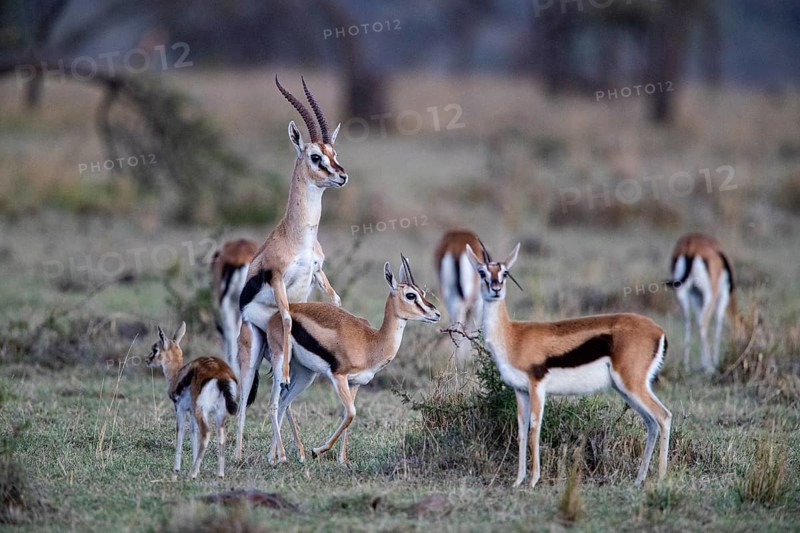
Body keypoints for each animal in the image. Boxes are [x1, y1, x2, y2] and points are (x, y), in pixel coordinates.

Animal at [146, 322, 239, 480]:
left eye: (155, 349)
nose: (147, 360)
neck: (177, 375)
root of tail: (221, 375)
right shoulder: (191, 412)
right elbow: (193, 433)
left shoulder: (180, 409)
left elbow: (181, 431)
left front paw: (177, 468)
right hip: (219, 413)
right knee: (220, 436)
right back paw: (219, 473)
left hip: (201, 410)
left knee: (206, 433)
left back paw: (192, 474)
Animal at [235, 76, 346, 461]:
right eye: (315, 156)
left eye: (334, 153)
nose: (342, 176)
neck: (298, 235)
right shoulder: (279, 277)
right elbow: (284, 316)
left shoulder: (317, 273)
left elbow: (337, 300)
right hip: (253, 352)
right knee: (245, 399)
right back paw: (238, 454)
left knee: (279, 399)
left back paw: (282, 453)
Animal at [264, 255, 440, 465]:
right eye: (411, 295)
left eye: (422, 292)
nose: (436, 314)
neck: (371, 342)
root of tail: (277, 315)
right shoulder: (338, 376)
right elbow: (351, 413)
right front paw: (317, 450)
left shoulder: (355, 383)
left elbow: (346, 417)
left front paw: (342, 460)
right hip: (280, 362)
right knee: (273, 404)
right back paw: (280, 457)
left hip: (306, 374)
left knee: (284, 402)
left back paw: (276, 455)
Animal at [466, 243, 671, 488]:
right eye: (482, 272)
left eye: (505, 273)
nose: (495, 289)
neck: (513, 336)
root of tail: (658, 330)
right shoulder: (520, 390)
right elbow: (522, 430)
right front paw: (517, 481)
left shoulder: (537, 386)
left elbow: (535, 427)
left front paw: (533, 480)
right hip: (625, 390)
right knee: (651, 423)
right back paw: (638, 480)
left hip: (632, 385)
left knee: (664, 416)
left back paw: (660, 479)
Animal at [665, 233, 740, 373]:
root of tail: (691, 246)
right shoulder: (723, 295)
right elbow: (718, 323)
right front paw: (714, 363)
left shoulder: (696, 297)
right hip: (710, 294)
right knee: (704, 322)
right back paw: (709, 367)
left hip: (682, 293)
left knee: (688, 324)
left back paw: (686, 366)